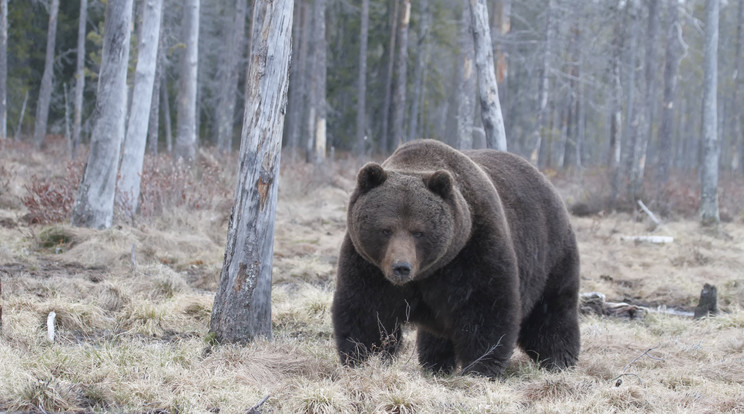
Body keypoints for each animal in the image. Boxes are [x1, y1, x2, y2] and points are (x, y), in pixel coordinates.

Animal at [332, 139, 580, 378]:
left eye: (418, 232)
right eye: (385, 229)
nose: (401, 267)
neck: (427, 272)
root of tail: (545, 180)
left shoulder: (472, 250)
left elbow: (485, 309)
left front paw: (481, 368)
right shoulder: (368, 266)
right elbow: (366, 313)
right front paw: (363, 360)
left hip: (549, 252)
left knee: (551, 312)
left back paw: (560, 360)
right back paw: (436, 364)